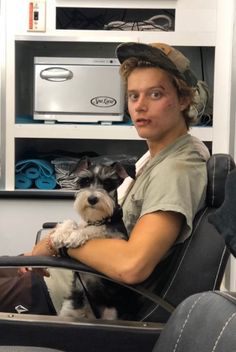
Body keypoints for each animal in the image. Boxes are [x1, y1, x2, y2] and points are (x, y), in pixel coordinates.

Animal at [49, 158, 138, 320]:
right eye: (85, 181)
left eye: (108, 183)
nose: (92, 199)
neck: (98, 219)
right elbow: (73, 222)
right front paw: (60, 233)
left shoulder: (117, 238)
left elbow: (98, 229)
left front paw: (75, 236)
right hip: (70, 308)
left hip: (112, 315)